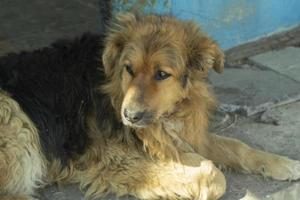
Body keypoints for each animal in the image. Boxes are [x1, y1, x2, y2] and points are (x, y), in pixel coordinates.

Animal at [0, 11, 300, 199]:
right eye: (129, 69)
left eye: (162, 74)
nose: (129, 116)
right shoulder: (116, 160)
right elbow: (214, 176)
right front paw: (200, 176)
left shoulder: (182, 135)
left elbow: (237, 146)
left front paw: (282, 164)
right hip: (15, 116)